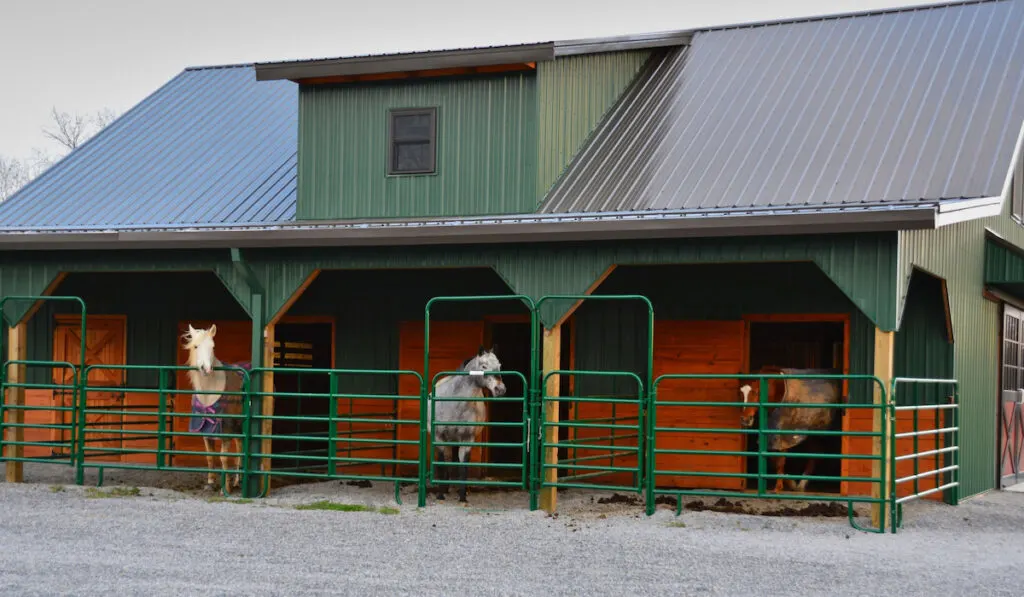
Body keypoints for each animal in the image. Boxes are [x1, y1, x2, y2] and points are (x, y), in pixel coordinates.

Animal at [182, 325, 249, 493]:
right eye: (196, 346)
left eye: (213, 347)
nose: (207, 369)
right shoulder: (205, 429)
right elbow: (210, 456)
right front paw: (210, 483)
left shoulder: (226, 430)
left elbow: (223, 457)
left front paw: (225, 488)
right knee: (240, 448)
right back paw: (238, 480)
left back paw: (238, 481)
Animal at [428, 346, 503, 503]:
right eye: (483, 366)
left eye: (499, 366)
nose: (500, 389)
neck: (455, 403)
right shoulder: (439, 437)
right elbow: (442, 462)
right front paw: (440, 494)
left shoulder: (467, 439)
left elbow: (463, 465)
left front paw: (462, 496)